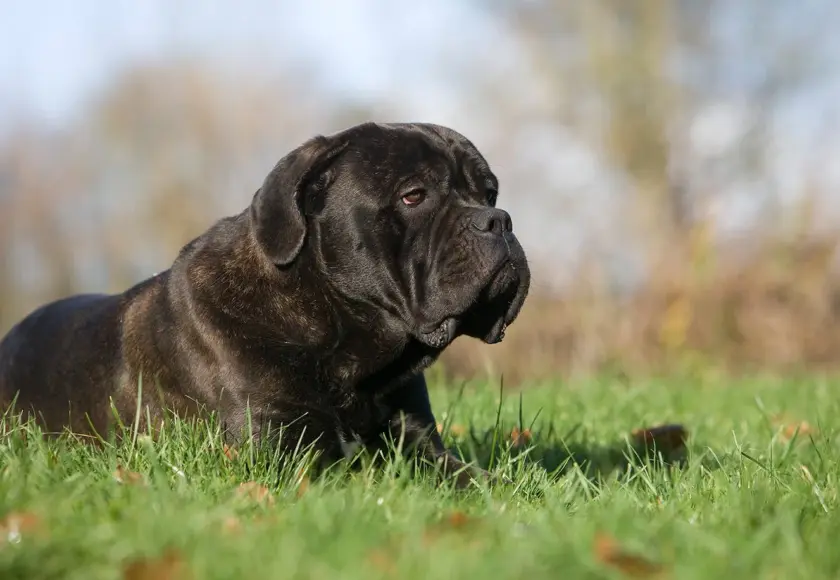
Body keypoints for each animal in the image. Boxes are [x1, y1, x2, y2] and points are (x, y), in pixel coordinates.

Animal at [0, 121, 532, 484]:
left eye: (490, 192)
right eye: (413, 195)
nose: (498, 219)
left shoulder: (420, 445)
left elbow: (476, 481)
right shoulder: (286, 451)